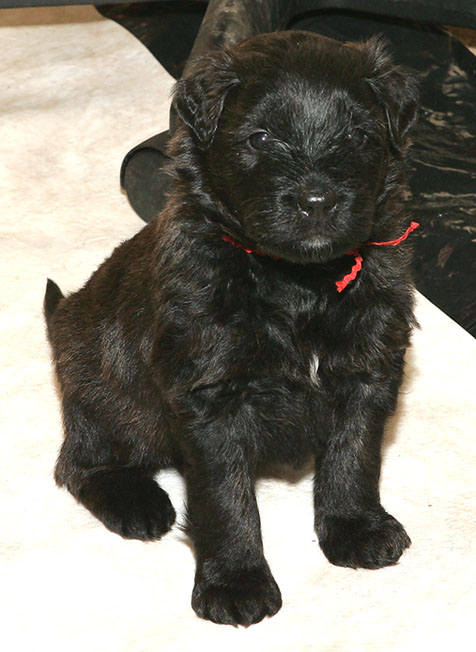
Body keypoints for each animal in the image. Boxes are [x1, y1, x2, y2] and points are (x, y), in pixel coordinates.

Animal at [45, 31, 419, 626]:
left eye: (359, 135)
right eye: (260, 137)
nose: (317, 202)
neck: (297, 281)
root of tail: (62, 318)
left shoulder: (367, 369)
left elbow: (354, 456)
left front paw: (354, 528)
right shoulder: (210, 397)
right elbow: (225, 497)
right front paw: (237, 581)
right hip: (115, 399)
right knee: (79, 463)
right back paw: (138, 503)